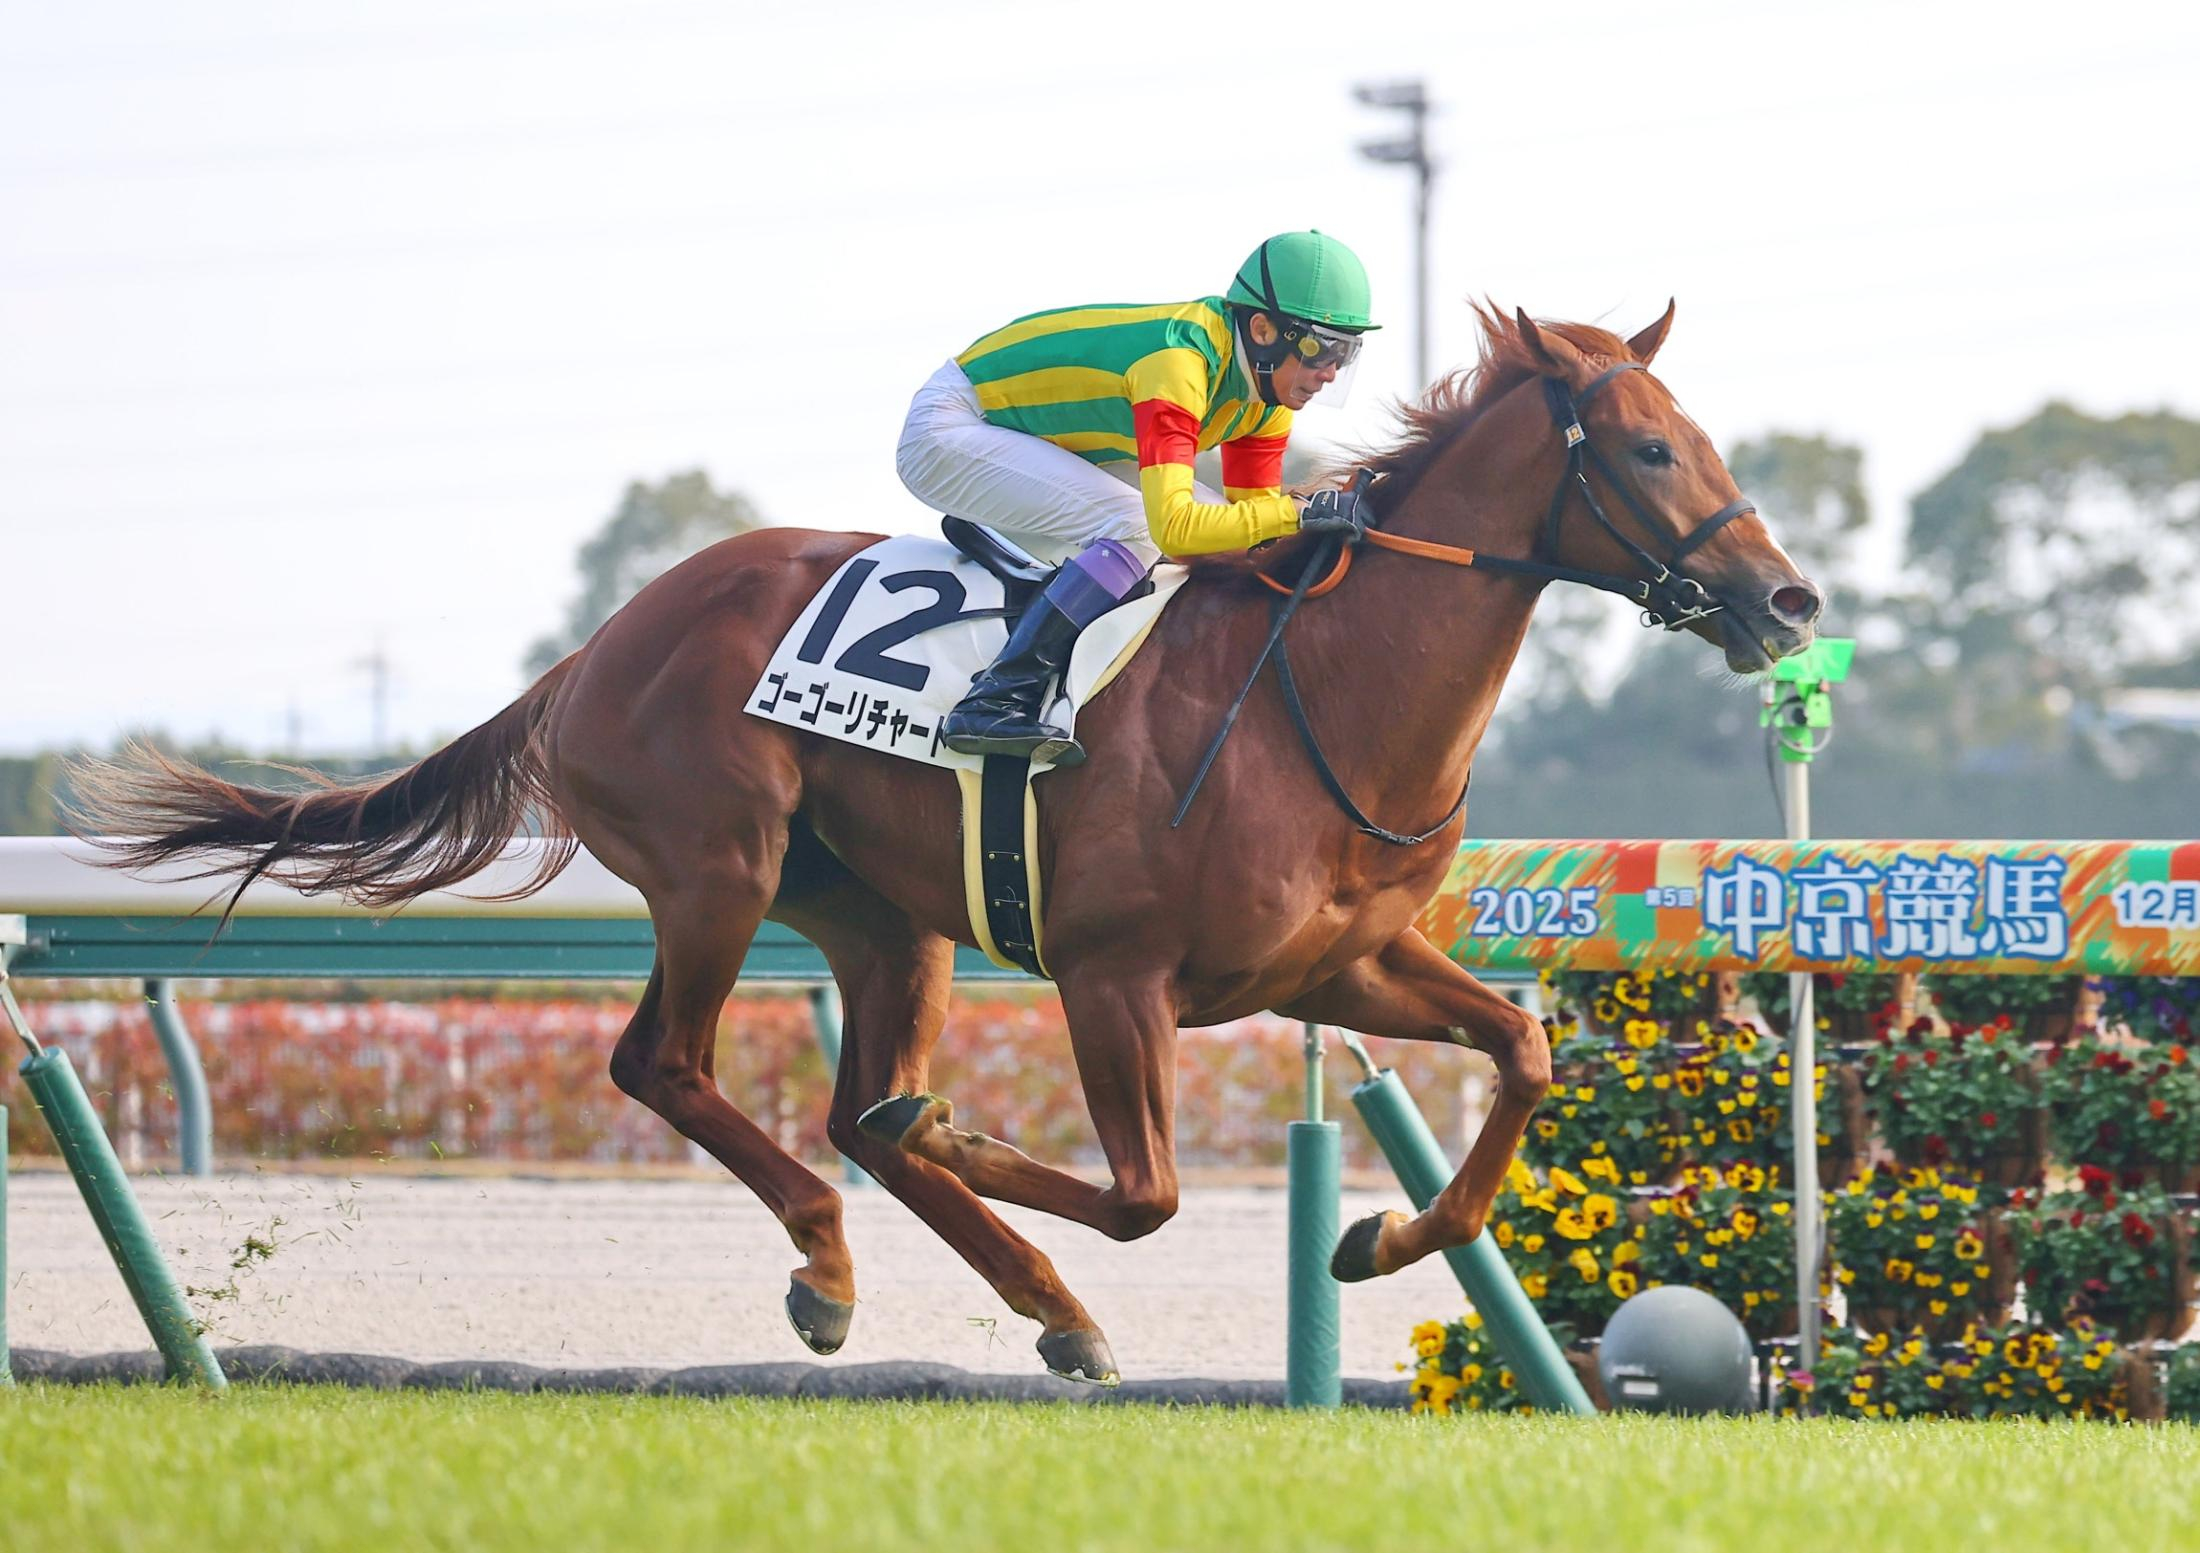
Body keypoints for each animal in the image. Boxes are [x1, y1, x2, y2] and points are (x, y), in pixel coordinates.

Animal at [74, 303, 1822, 1383]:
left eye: (1702, 435)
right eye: (1650, 450)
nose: (1788, 599)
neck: (1318, 688)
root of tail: (595, 646)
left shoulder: (1341, 963)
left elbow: (1521, 1056)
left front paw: (1381, 1233)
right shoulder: (1115, 978)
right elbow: (1147, 1193)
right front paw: (981, 1147)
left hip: (882, 917)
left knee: (848, 1106)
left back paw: (1027, 1305)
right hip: (718, 869)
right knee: (673, 1068)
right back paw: (840, 1268)